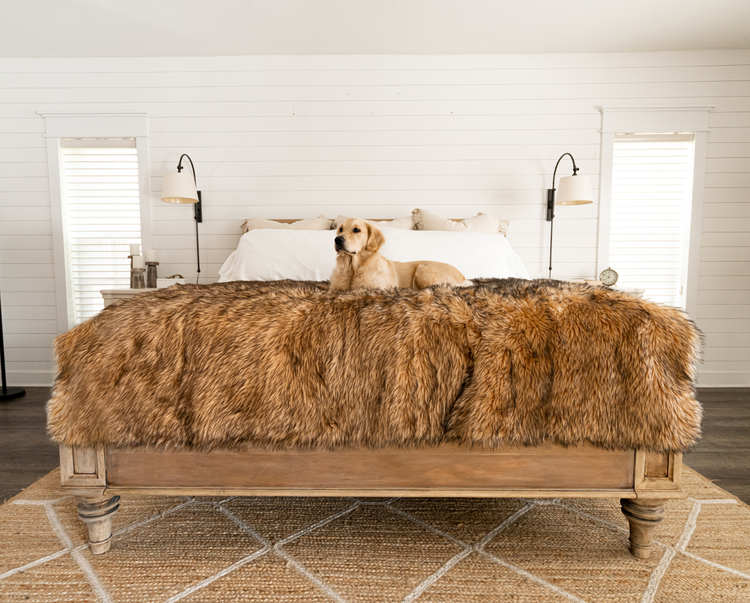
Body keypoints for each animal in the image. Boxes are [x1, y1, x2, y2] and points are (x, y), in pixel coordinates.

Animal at [332, 218, 468, 292]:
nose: (337, 240)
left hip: (423, 271)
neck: (353, 269)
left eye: (356, 230)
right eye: (340, 229)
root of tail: (463, 276)